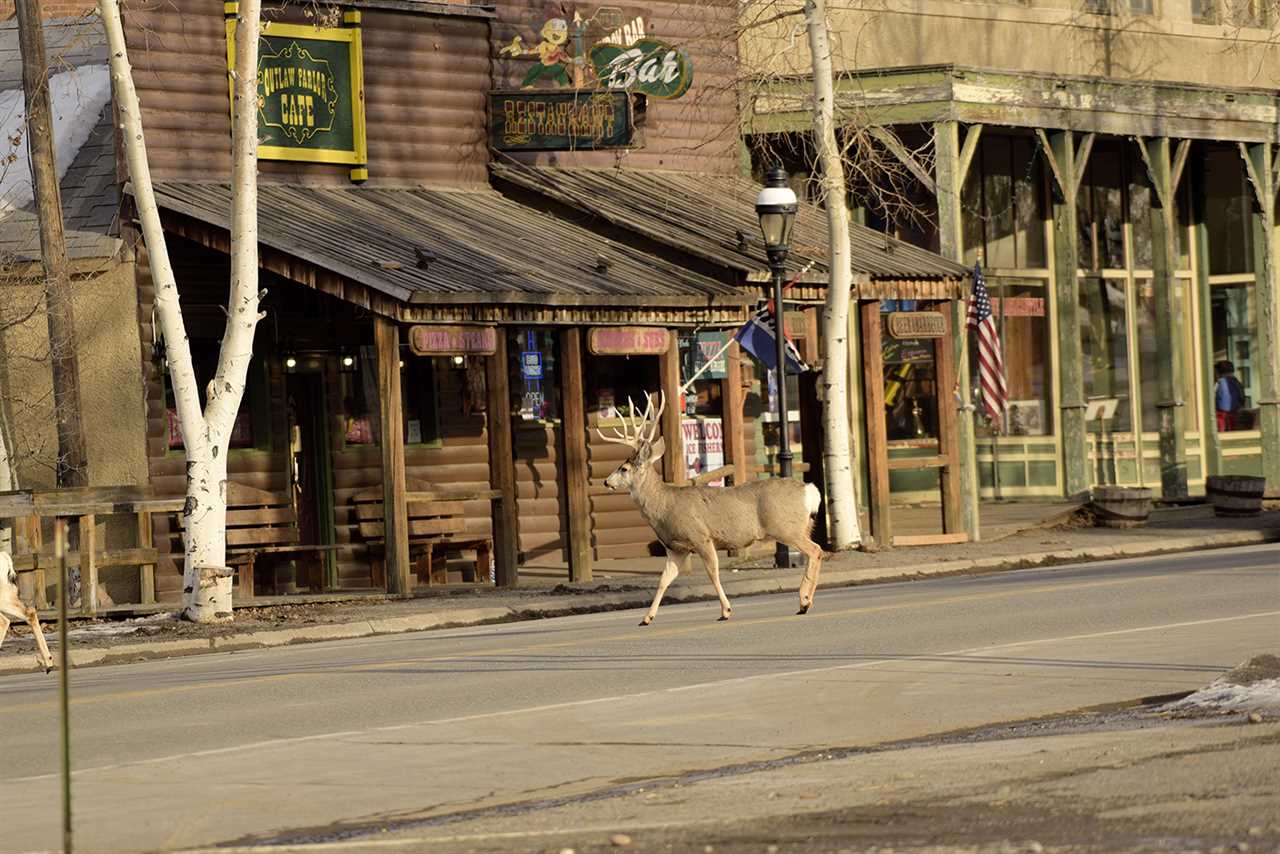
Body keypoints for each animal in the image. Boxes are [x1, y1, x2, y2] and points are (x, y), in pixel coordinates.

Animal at [596, 391, 824, 624]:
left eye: (624, 468)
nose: (606, 482)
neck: (664, 506)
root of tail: (810, 491)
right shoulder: (676, 548)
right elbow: (663, 580)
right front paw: (647, 617)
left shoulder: (701, 536)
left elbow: (712, 572)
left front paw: (726, 610)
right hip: (801, 527)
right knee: (816, 551)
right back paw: (805, 602)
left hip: (786, 528)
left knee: (816, 550)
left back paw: (804, 601)